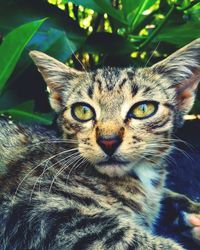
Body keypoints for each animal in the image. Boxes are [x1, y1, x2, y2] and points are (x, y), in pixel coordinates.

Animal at [0, 38, 199, 249]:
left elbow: (169, 196)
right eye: (83, 111)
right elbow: (121, 235)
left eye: (143, 109)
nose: (108, 140)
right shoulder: (32, 211)